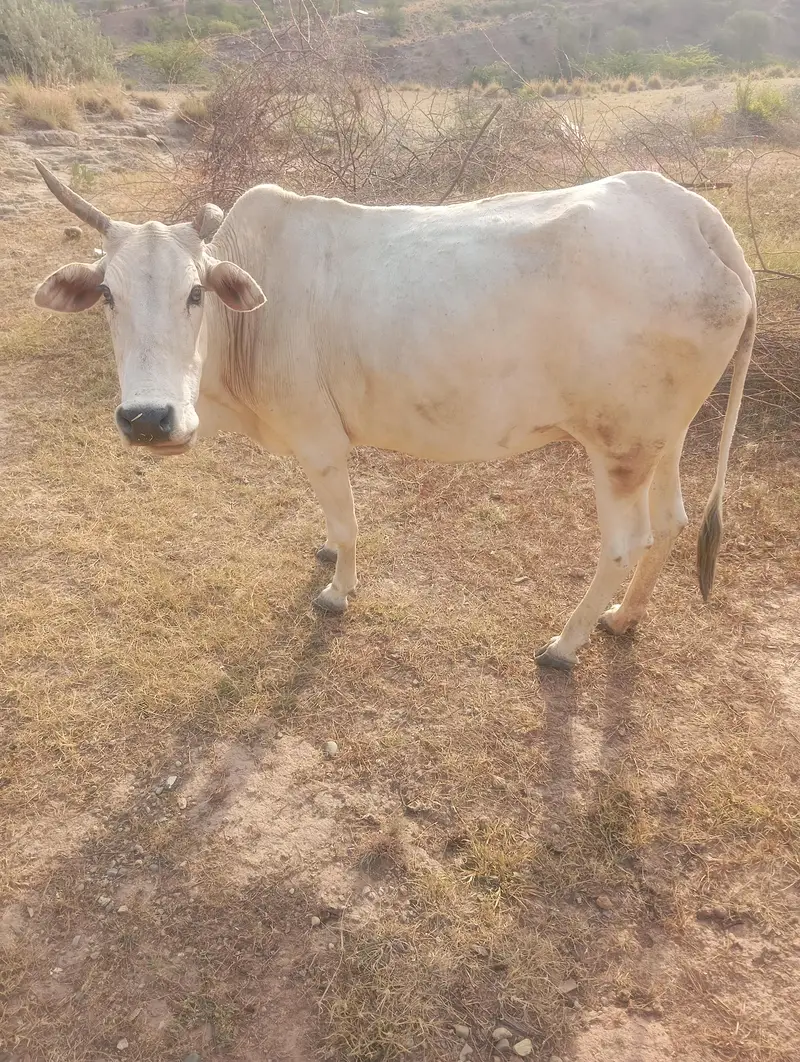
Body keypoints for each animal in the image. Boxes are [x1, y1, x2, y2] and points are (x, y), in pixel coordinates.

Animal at [32, 159, 756, 670]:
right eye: (107, 295)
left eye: (194, 293)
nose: (149, 419)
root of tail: (693, 214)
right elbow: (333, 524)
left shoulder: (321, 440)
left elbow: (348, 524)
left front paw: (337, 590)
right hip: (662, 437)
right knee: (672, 521)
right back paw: (623, 618)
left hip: (617, 447)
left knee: (625, 541)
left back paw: (565, 644)